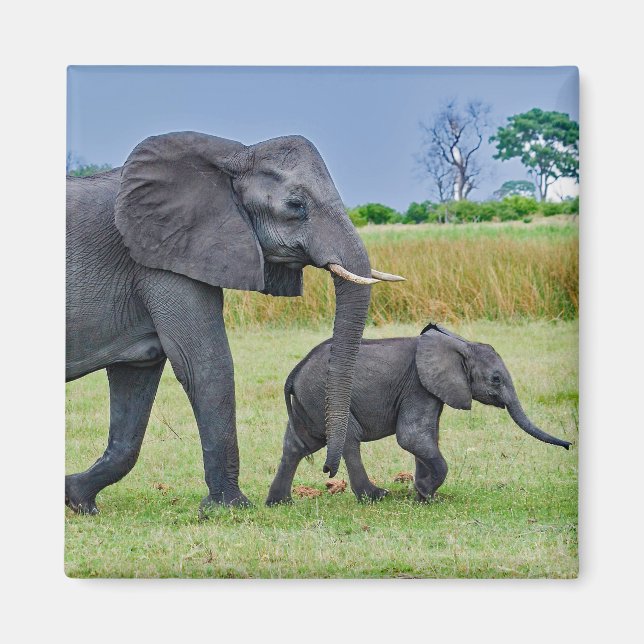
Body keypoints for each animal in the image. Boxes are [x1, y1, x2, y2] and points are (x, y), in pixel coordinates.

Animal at [66, 131, 403, 515]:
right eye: (296, 206)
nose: (328, 472)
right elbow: (205, 365)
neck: (235, 155)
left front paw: (77, 498)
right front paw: (229, 507)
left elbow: (136, 379)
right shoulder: (162, 259)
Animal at [266, 323, 571, 505]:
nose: (569, 445)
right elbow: (411, 437)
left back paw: (280, 502)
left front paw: (423, 494)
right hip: (323, 395)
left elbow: (427, 437)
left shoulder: (431, 390)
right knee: (348, 439)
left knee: (298, 444)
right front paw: (426, 494)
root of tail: (295, 371)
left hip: (310, 402)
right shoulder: (418, 385)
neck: (460, 344)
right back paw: (376, 496)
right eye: (496, 379)